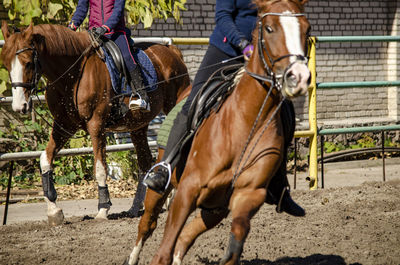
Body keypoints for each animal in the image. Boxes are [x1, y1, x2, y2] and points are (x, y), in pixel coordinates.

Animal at [0, 22, 191, 225]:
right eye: (6, 64)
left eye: (28, 63)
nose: (19, 106)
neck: (73, 75)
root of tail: (172, 51)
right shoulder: (64, 125)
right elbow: (45, 159)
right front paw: (54, 211)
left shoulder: (96, 125)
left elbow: (100, 168)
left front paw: (103, 209)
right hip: (138, 126)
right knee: (145, 162)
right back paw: (136, 208)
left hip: (172, 108)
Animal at [125, 0, 310, 262]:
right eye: (270, 28)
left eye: (307, 28)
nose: (299, 77)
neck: (245, 123)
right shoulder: (187, 191)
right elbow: (162, 251)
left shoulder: (248, 195)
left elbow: (234, 243)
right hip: (162, 189)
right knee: (147, 224)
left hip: (215, 209)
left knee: (186, 237)